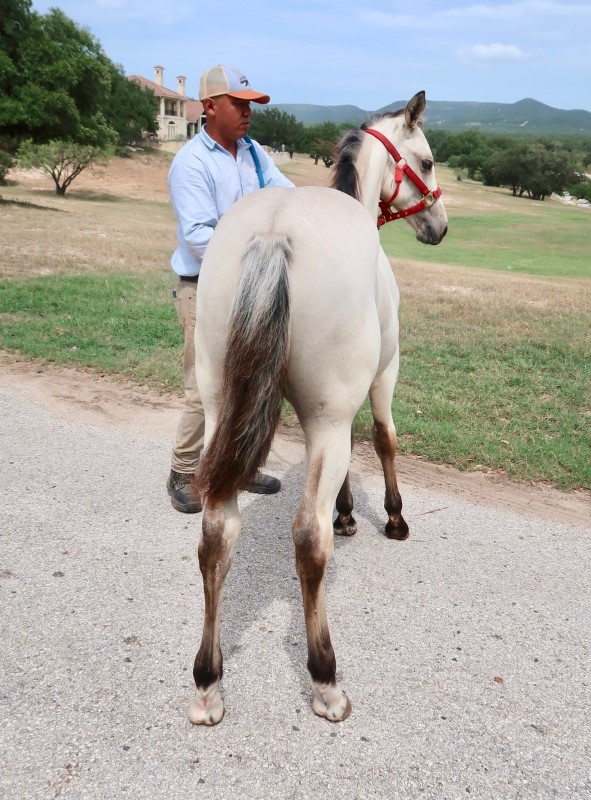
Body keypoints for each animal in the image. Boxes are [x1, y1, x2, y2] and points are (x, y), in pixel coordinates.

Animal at [190, 89, 448, 724]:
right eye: (427, 162)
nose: (440, 225)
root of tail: (274, 234)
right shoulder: (380, 377)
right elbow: (381, 439)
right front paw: (391, 517)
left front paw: (348, 511)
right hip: (328, 413)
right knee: (308, 540)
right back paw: (325, 675)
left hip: (221, 407)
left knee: (215, 533)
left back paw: (207, 681)